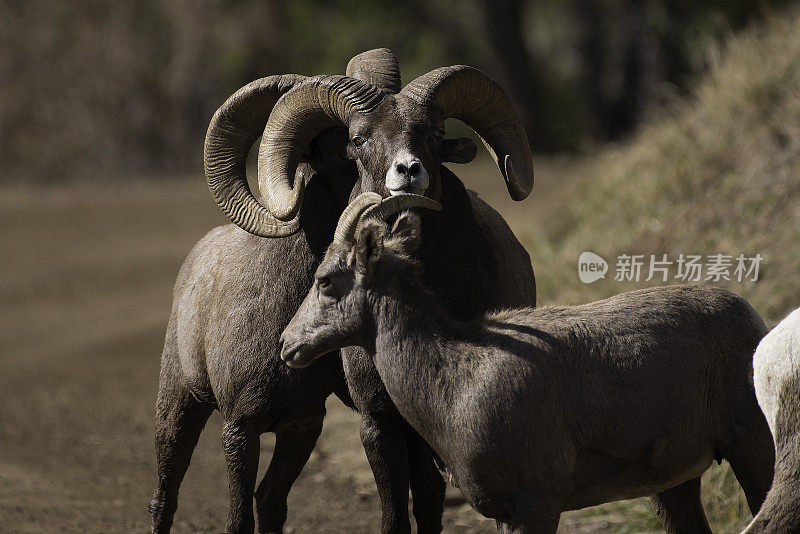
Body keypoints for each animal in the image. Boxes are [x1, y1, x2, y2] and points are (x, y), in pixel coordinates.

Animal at [280, 196, 776, 534]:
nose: (287, 344)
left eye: (326, 281)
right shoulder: (506, 514)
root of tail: (754, 320)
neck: (453, 382)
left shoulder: (535, 505)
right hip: (675, 484)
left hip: (753, 447)